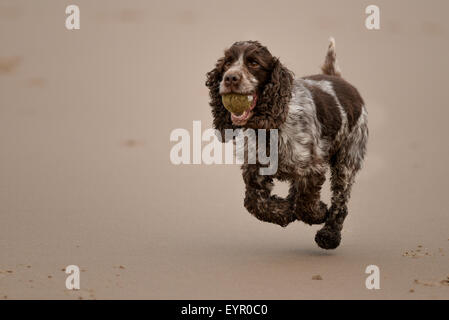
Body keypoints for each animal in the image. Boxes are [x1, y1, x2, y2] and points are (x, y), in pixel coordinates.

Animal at [206, 38, 368, 249]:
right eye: (227, 63)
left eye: (254, 63)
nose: (230, 78)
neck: (269, 128)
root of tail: (337, 78)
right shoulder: (254, 168)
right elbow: (256, 203)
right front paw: (285, 212)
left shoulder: (312, 167)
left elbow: (305, 203)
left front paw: (319, 213)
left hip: (348, 158)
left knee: (341, 200)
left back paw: (329, 235)